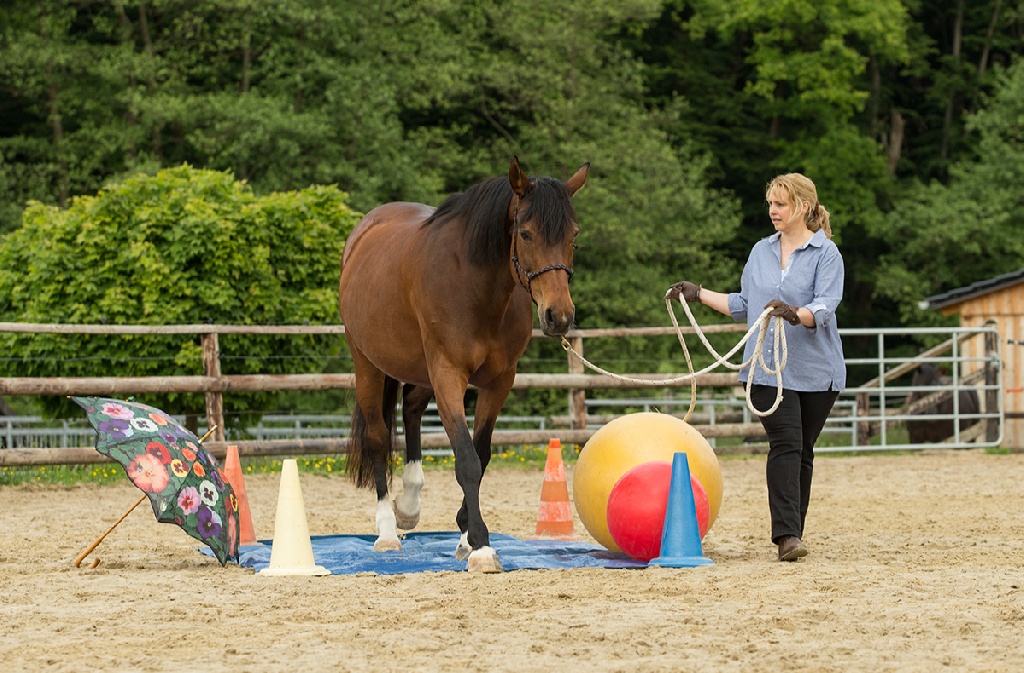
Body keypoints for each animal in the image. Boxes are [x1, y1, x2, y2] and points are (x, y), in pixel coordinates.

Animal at [339, 157, 589, 573]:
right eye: (526, 234)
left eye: (573, 235)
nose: (559, 316)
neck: (473, 284)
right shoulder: (448, 375)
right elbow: (467, 460)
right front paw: (482, 546)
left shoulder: (499, 382)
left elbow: (481, 454)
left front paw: (465, 534)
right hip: (368, 365)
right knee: (377, 437)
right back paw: (388, 530)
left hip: (417, 370)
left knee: (411, 411)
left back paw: (410, 504)